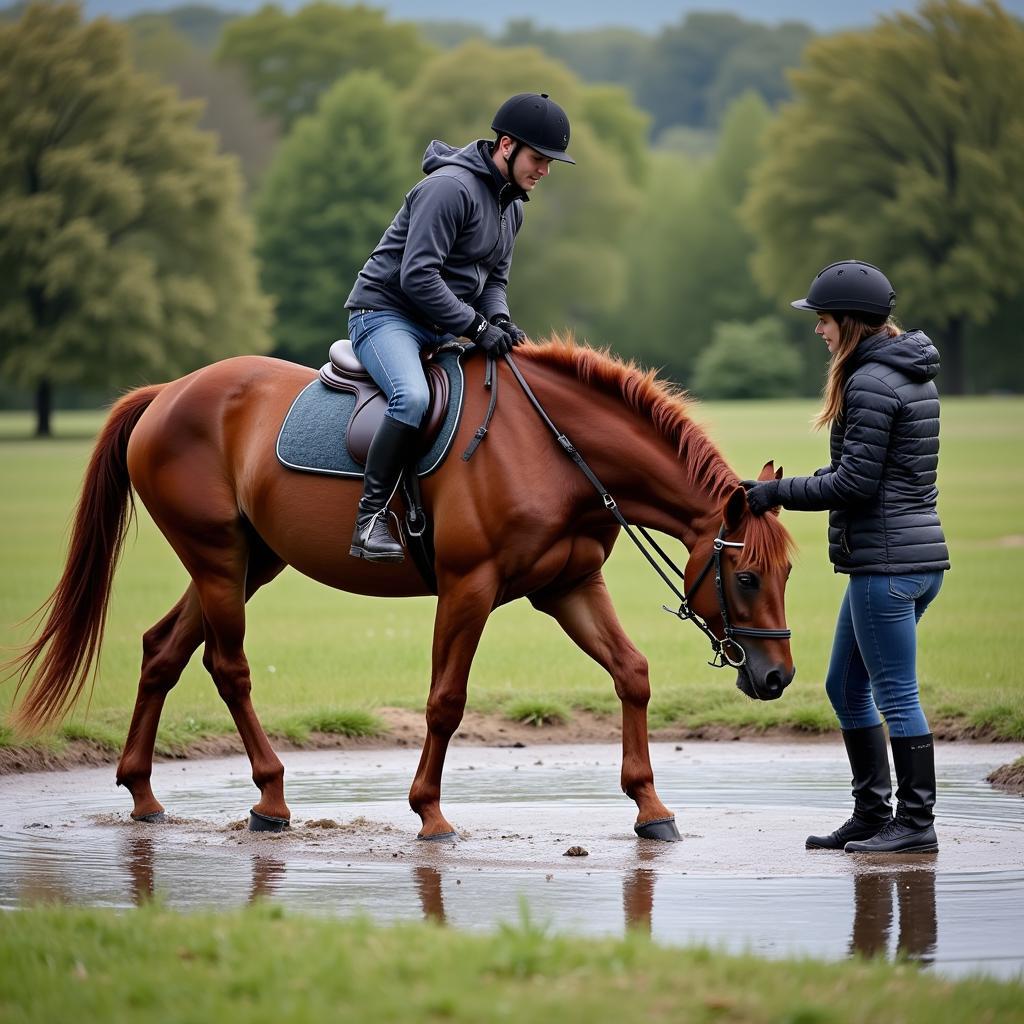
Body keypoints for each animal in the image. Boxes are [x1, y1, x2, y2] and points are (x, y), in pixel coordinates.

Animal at [6, 335, 790, 839]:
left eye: (788, 573)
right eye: (747, 575)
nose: (778, 676)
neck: (558, 450)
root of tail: (167, 393)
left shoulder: (570, 585)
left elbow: (632, 673)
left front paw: (650, 807)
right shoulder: (469, 588)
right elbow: (446, 701)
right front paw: (430, 813)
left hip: (245, 563)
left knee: (162, 650)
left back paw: (142, 792)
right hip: (219, 561)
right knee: (227, 667)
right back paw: (271, 798)